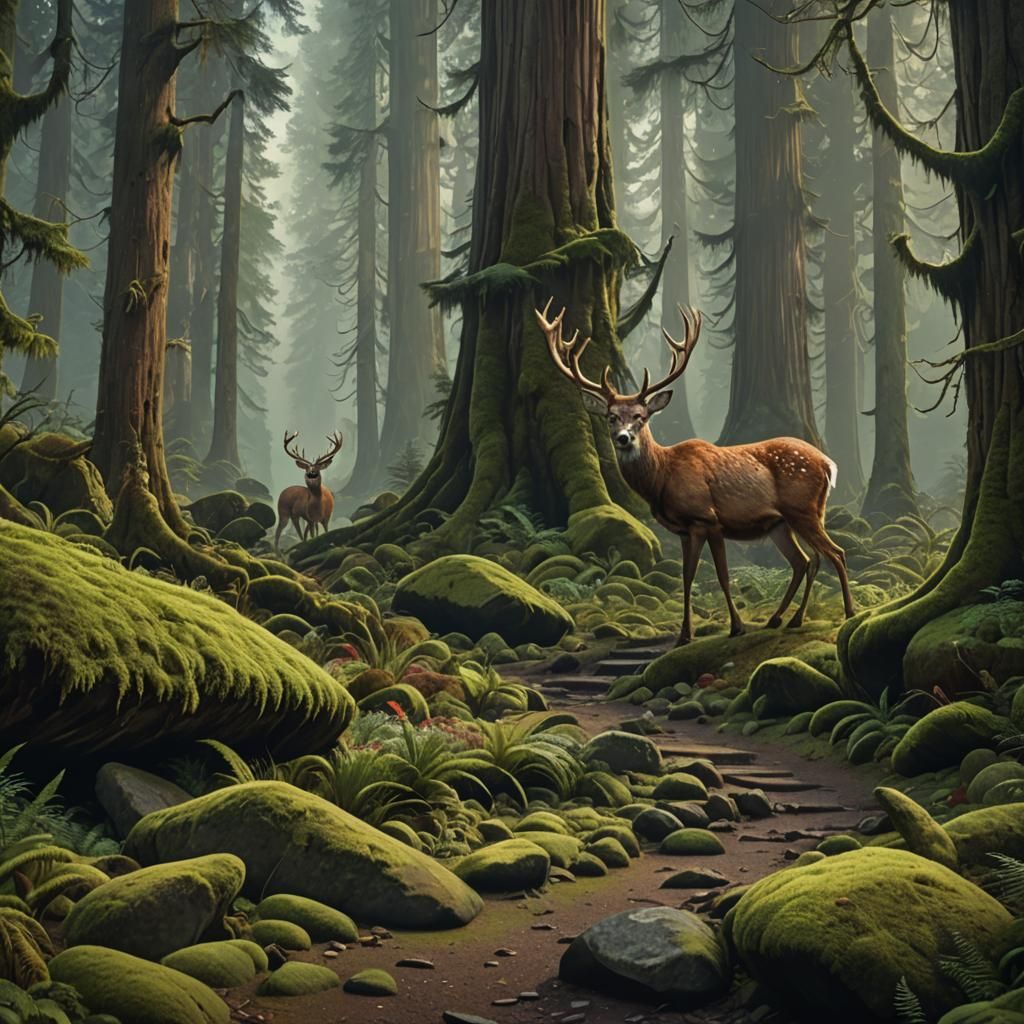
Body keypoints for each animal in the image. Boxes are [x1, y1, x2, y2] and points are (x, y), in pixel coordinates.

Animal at [535, 298, 855, 647]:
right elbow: (687, 577)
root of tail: (829, 463)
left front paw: (736, 627)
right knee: (804, 562)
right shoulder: (685, 530)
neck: (662, 477)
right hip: (779, 524)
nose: (623, 438)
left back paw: (847, 612)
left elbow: (722, 575)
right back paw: (782, 619)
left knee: (834, 553)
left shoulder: (707, 518)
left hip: (804, 509)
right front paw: (684, 635)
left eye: (640, 416)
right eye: (611, 416)